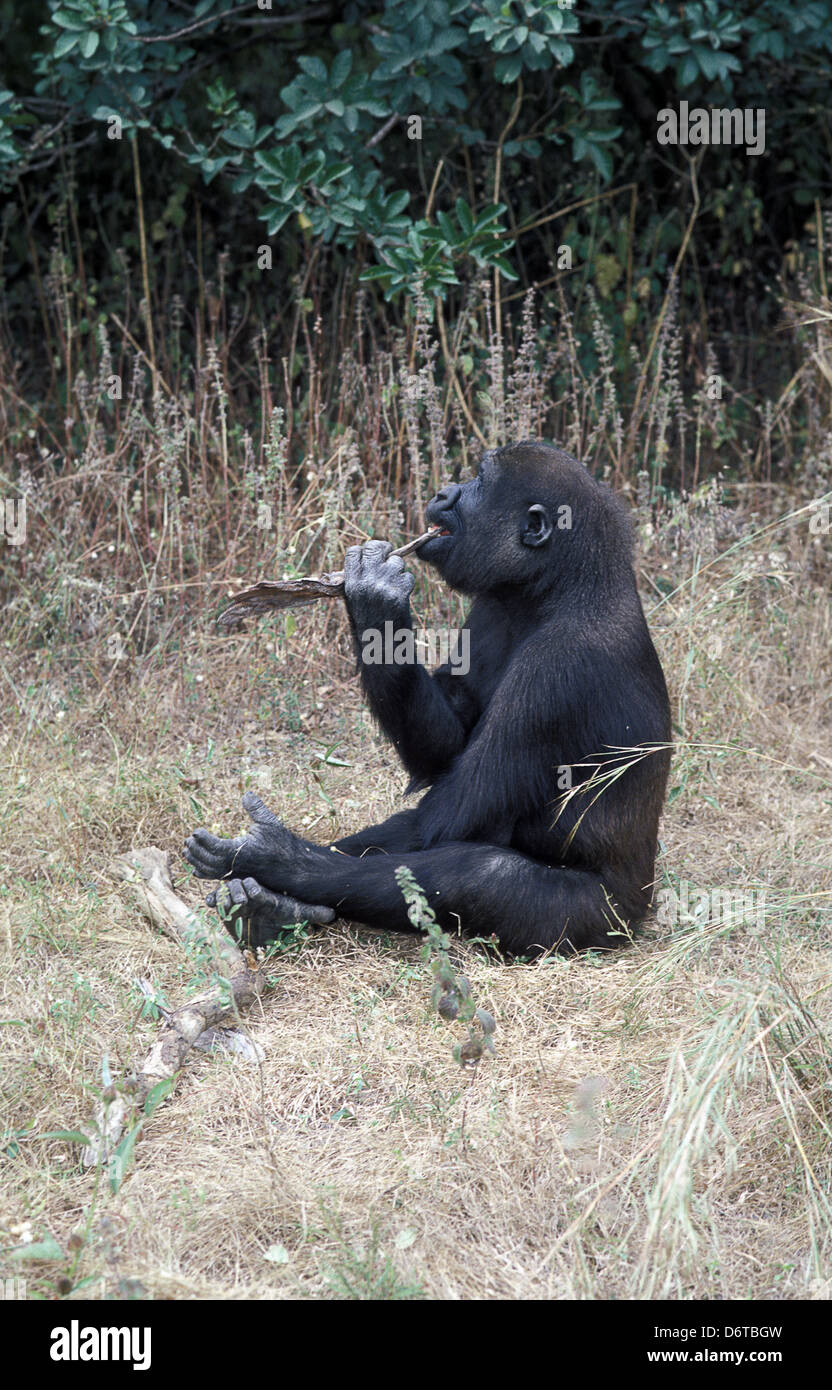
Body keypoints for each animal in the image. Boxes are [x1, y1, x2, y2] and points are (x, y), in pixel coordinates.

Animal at [186, 442, 675, 956]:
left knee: (476, 874)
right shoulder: (490, 604)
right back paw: (269, 910)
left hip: (607, 921)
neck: (559, 584)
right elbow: (444, 749)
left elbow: (451, 814)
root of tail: (645, 901)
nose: (443, 492)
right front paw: (376, 606)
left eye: (478, 481)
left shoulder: (558, 671)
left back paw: (283, 869)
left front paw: (270, 857)